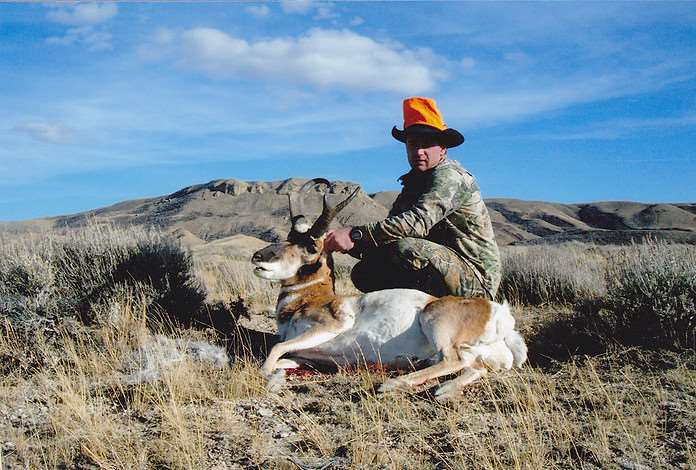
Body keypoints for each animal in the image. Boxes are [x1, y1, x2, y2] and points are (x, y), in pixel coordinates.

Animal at [251, 178, 528, 398]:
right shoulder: (303, 356)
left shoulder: (331, 325)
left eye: (310, 247)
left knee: (453, 360)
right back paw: (443, 390)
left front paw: (263, 374)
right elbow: (282, 357)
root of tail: (498, 313)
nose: (258, 256)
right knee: (473, 368)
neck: (311, 298)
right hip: (475, 356)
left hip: (435, 323)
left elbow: (275, 349)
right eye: (289, 238)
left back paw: (391, 384)